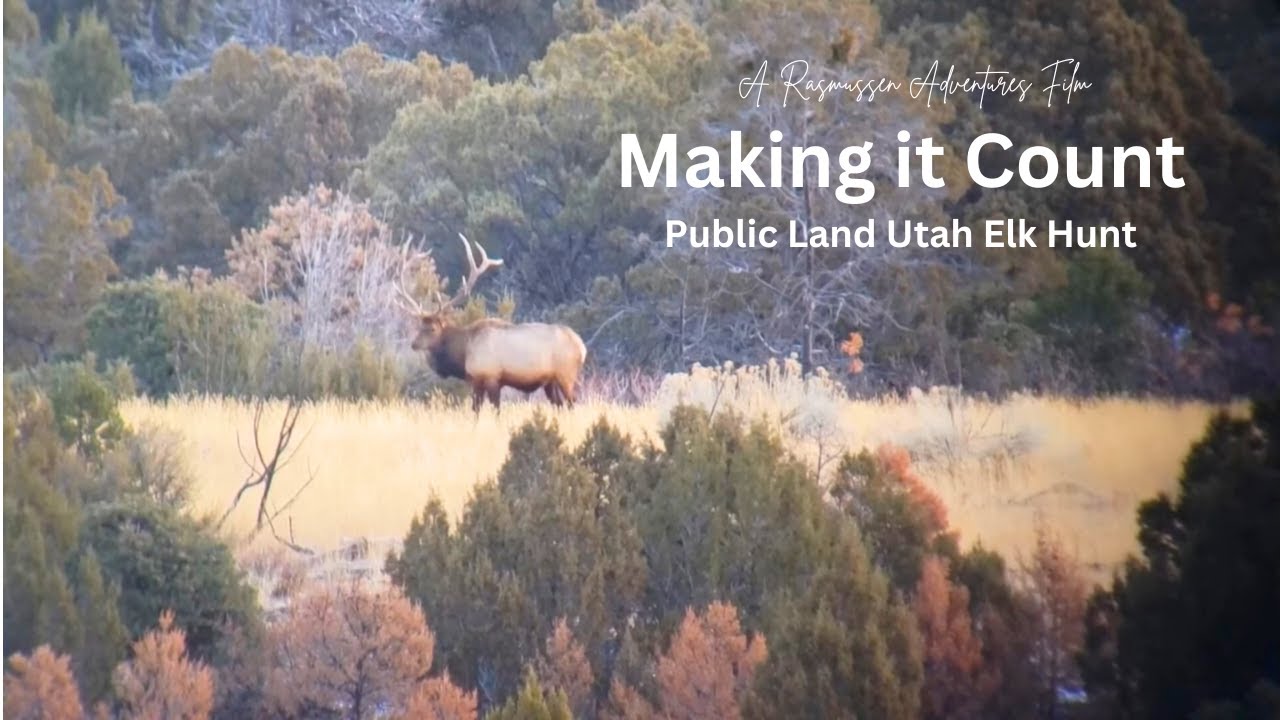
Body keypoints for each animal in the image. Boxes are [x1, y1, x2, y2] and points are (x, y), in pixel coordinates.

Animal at [395, 234, 587, 413]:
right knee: (560, 406)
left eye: (433, 328)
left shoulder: (492, 377)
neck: (465, 351)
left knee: (572, 404)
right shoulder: (476, 381)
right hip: (550, 382)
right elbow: (476, 410)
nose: (414, 344)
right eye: (420, 326)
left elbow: (495, 410)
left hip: (566, 375)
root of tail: (582, 347)